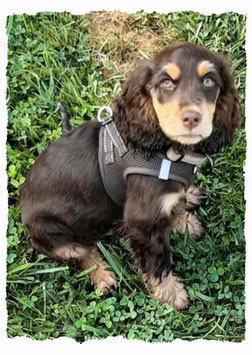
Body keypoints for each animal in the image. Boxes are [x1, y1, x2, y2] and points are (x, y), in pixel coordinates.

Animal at [19, 42, 240, 312]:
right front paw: (172, 295)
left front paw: (184, 221)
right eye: (166, 83)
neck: (167, 151)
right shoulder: (143, 223)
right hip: (56, 237)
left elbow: (175, 204)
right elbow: (157, 264)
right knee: (82, 252)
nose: (192, 118)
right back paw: (102, 275)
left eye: (209, 81)